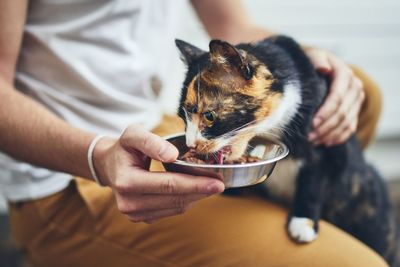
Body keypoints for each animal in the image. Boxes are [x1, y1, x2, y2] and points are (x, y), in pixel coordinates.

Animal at [177, 35, 398, 266]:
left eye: (209, 116)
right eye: (182, 117)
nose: (191, 144)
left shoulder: (327, 143)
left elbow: (313, 182)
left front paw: (303, 223)